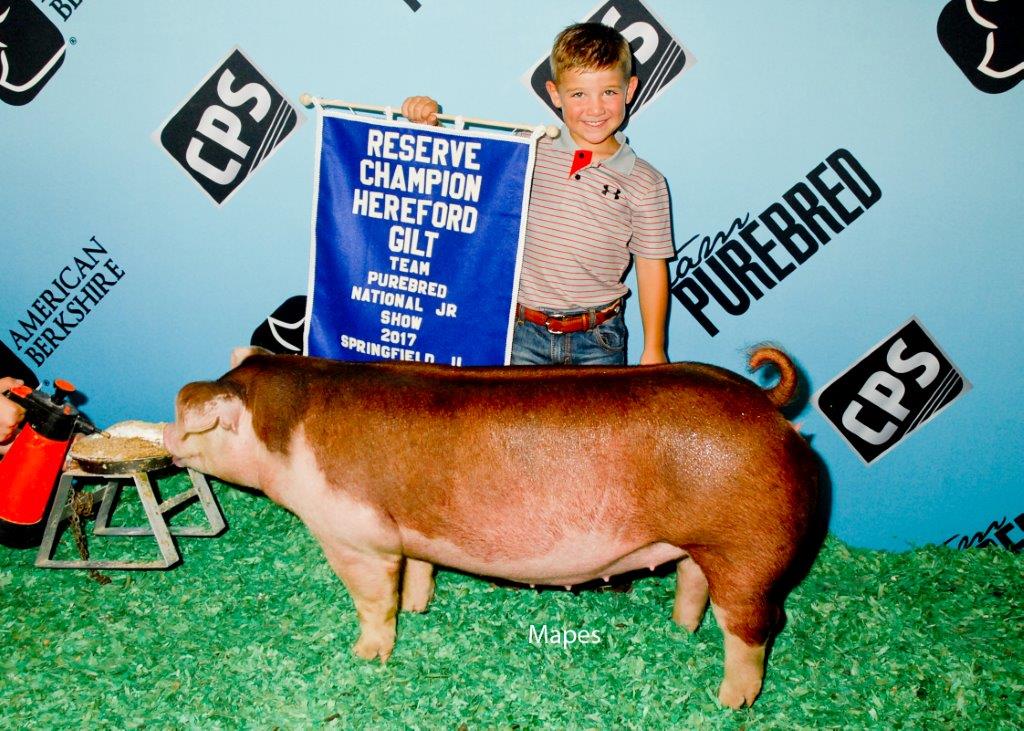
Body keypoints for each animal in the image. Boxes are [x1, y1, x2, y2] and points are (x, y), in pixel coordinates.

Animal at [165, 348, 815, 704]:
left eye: (197, 424)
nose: (167, 435)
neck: (284, 433)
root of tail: (768, 407)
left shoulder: (357, 537)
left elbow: (374, 599)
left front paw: (367, 655)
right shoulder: (410, 531)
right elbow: (420, 570)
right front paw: (421, 607)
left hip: (750, 553)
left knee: (753, 629)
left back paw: (730, 702)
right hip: (704, 547)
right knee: (694, 583)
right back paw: (681, 631)